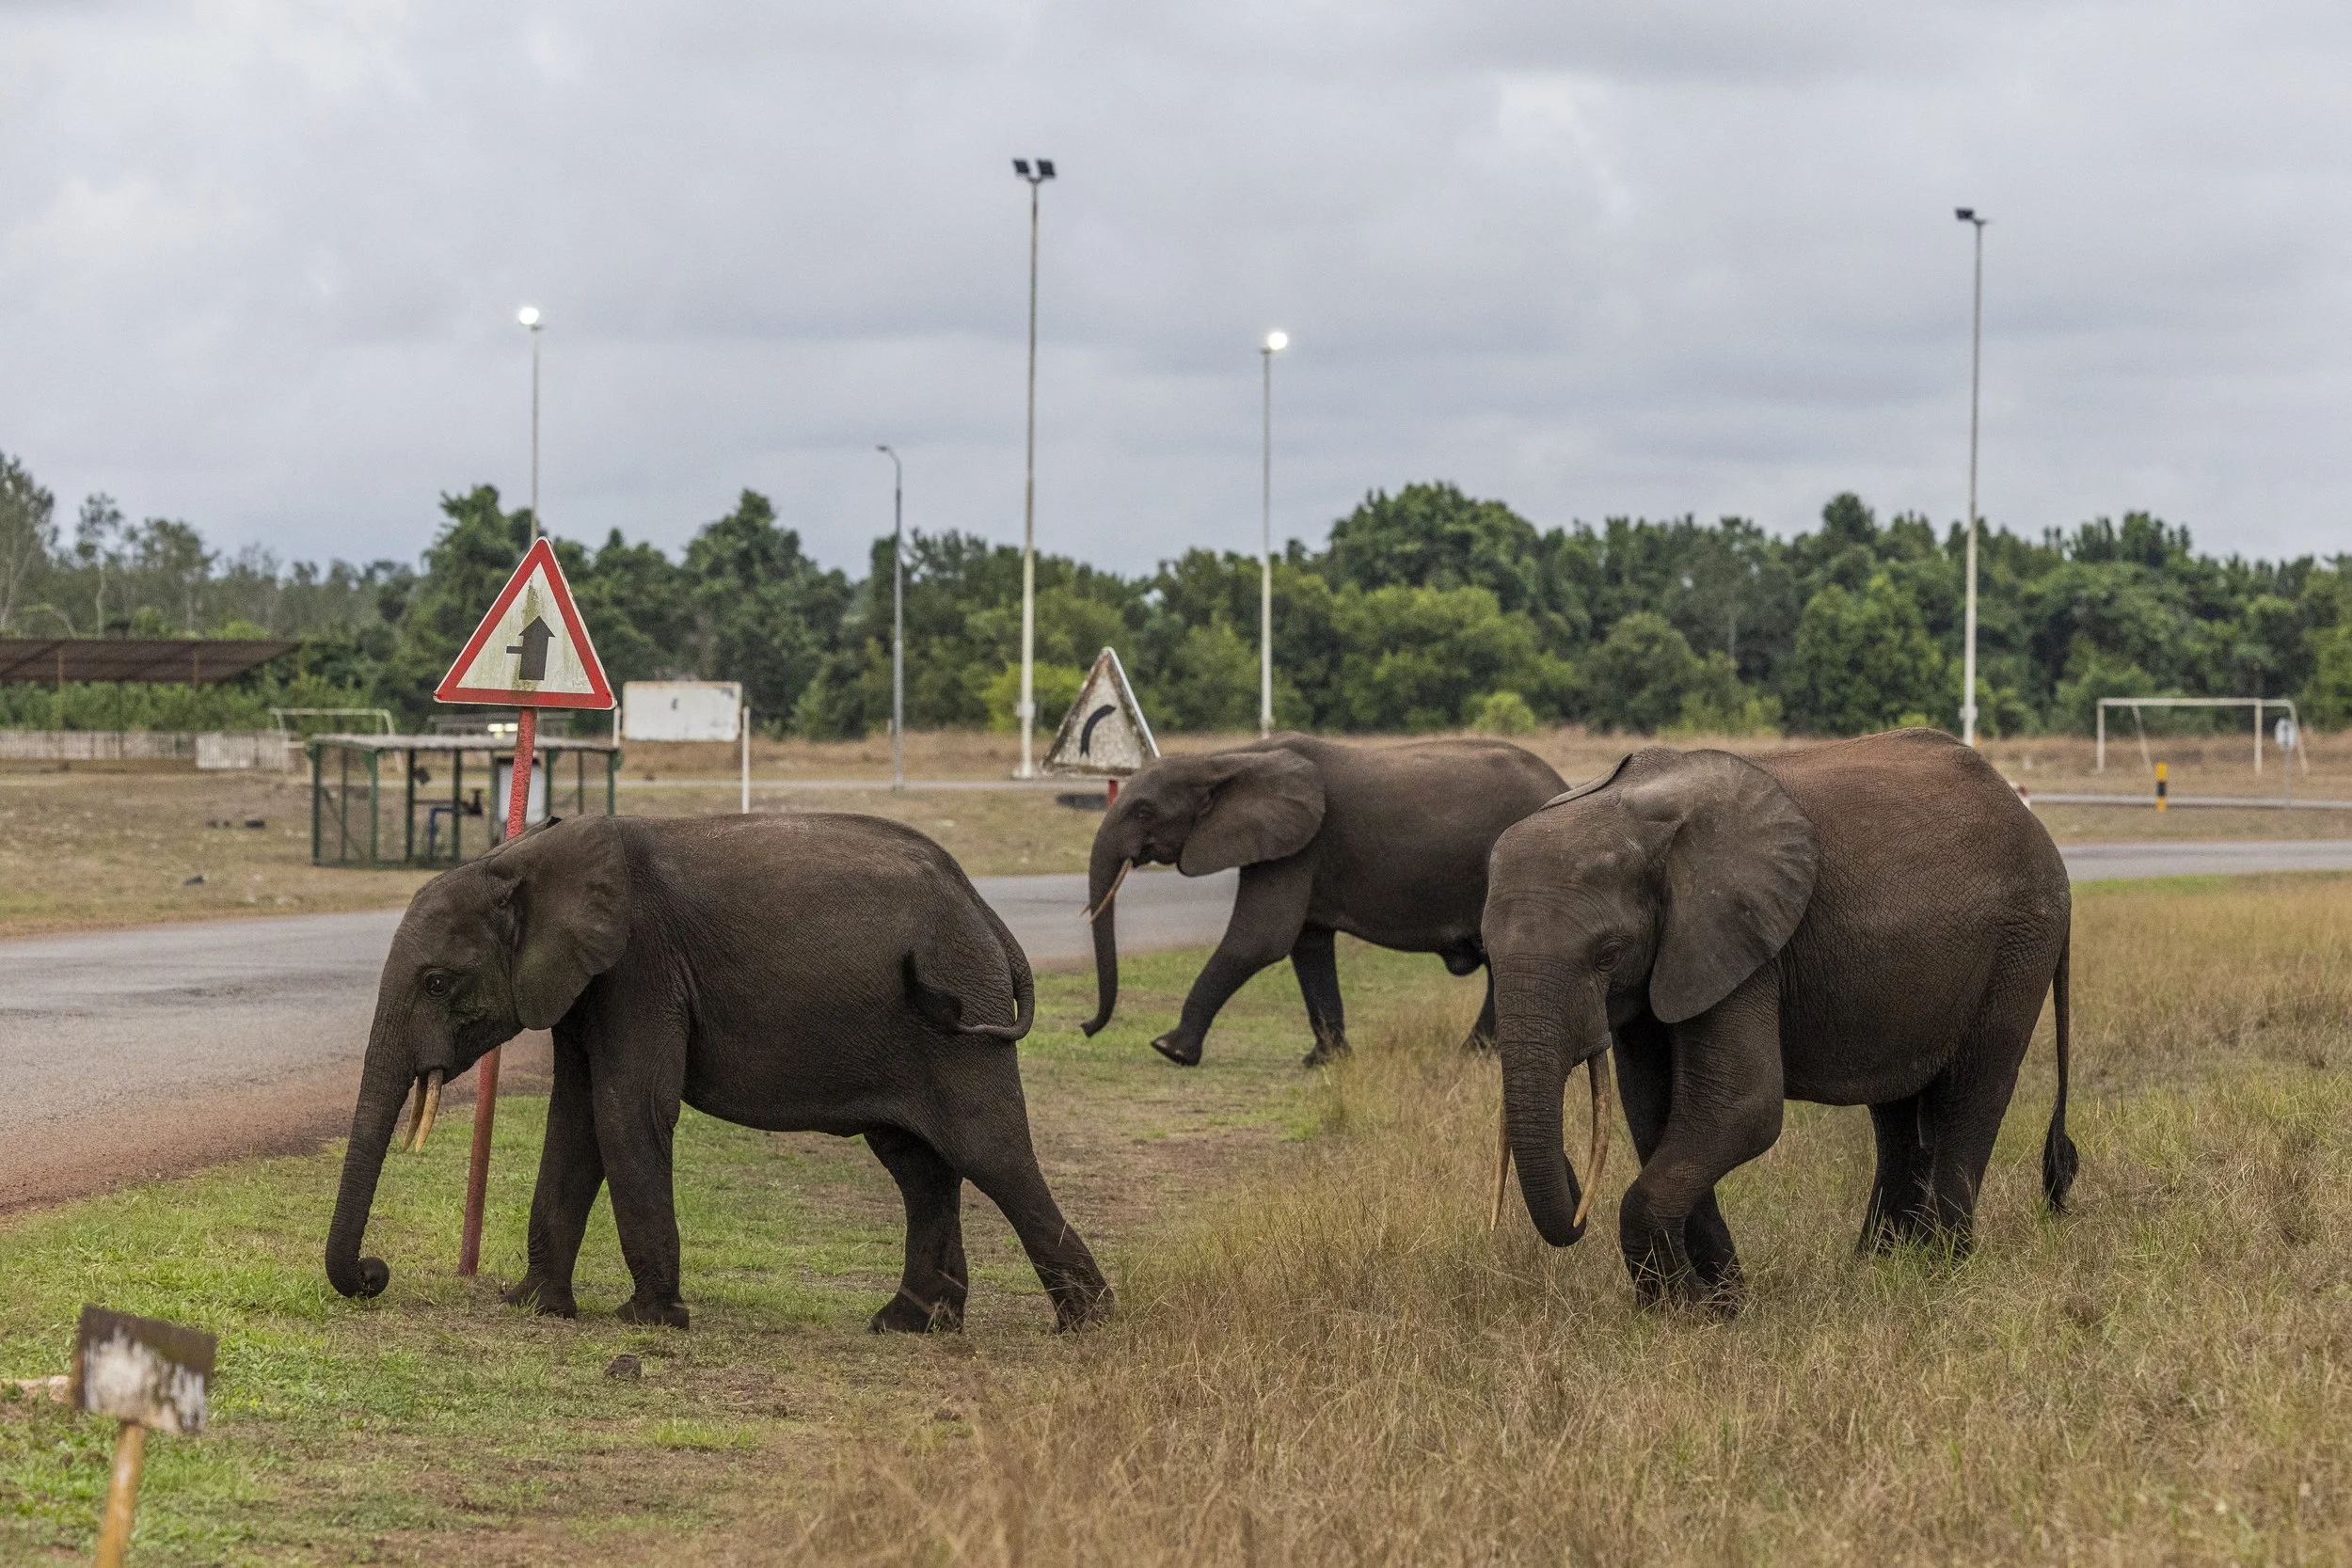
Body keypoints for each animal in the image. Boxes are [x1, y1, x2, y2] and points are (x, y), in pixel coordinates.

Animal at [324, 813, 1111, 1334]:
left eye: (435, 982)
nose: (374, 1273)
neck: (524, 860)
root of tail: (987, 912)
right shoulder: (587, 983)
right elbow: (576, 1119)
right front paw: (535, 1306)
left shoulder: (640, 966)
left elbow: (626, 1109)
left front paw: (648, 1320)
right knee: (920, 1166)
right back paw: (908, 1324)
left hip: (959, 1007)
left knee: (990, 1151)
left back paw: (1086, 1325)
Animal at [1081, 733, 1567, 1068]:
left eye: (1143, 811)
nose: (1086, 1027)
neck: (1228, 757)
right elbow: (1308, 946)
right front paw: (1324, 1062)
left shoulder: (1299, 847)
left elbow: (1259, 940)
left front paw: (1170, 1050)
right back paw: (1476, 1054)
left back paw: (1472, 1056)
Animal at [1483, 728, 2075, 1312]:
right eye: (1488, 950)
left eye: (1607, 955)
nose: (1577, 1203)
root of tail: (2036, 827)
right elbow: (1654, 1113)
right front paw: (1723, 1304)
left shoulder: (1742, 943)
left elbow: (1740, 1109)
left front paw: (1688, 1310)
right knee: (1897, 1113)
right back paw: (1879, 1269)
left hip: (2021, 942)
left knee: (1973, 1091)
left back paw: (1943, 1271)